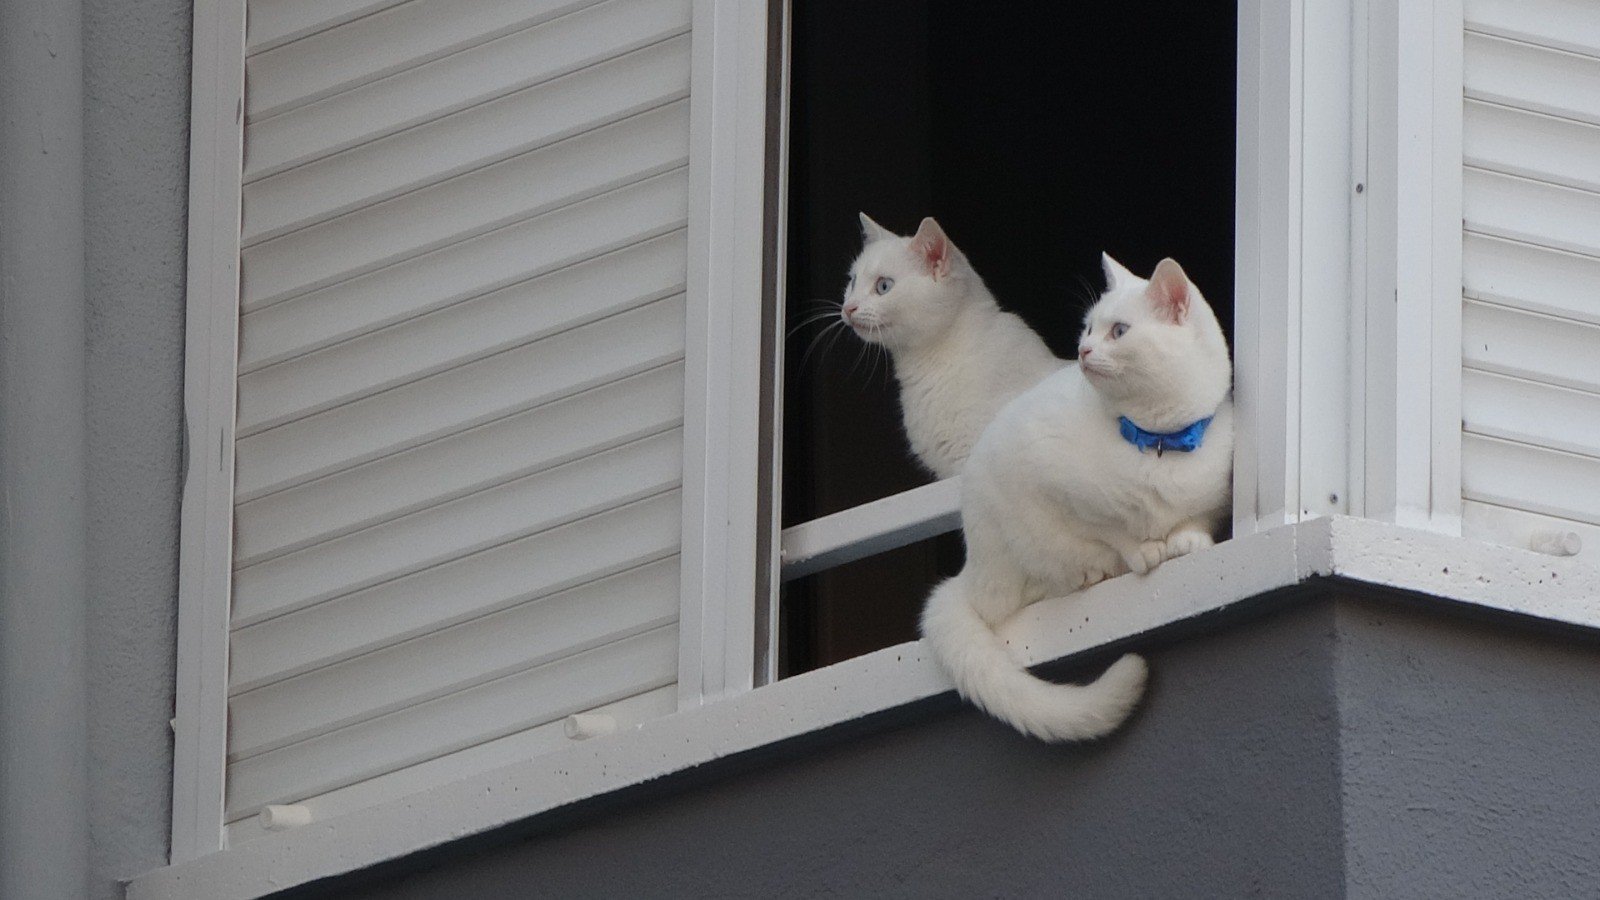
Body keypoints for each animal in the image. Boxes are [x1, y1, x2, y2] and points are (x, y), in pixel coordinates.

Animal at [921, 249, 1228, 736]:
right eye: (1087, 329)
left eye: (1118, 331)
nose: (1083, 351)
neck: (1156, 440)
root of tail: (971, 574)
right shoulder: (1054, 481)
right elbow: (1111, 528)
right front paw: (1142, 551)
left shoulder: (1212, 496)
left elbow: (1194, 518)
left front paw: (1187, 540)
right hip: (1013, 531)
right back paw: (1093, 572)